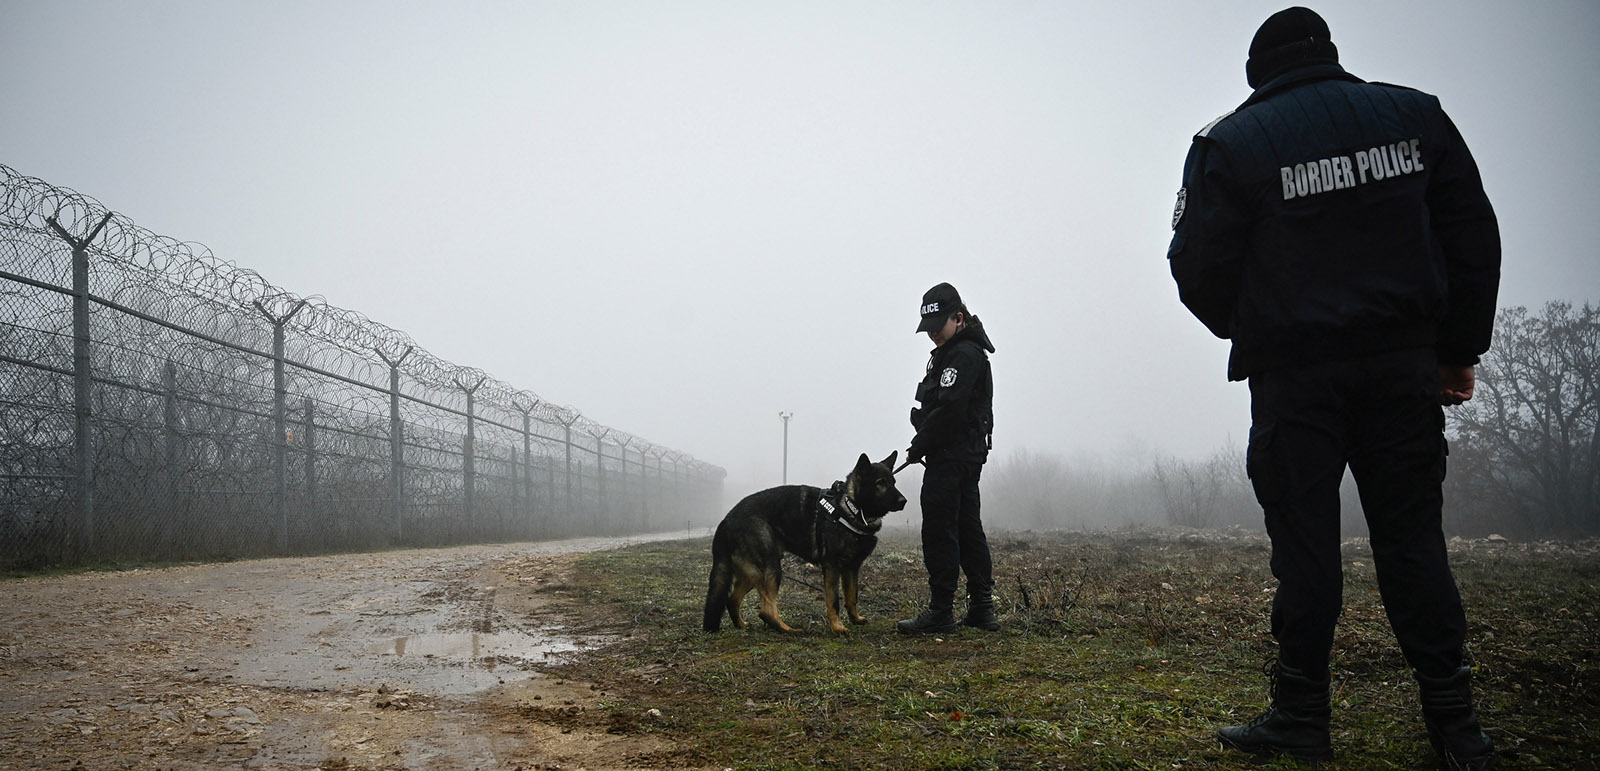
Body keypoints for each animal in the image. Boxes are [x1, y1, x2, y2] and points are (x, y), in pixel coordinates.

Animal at [704, 451, 908, 633]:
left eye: (893, 482)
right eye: (880, 483)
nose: (903, 501)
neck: (851, 508)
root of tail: (726, 520)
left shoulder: (852, 568)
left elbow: (852, 597)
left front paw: (855, 619)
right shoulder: (832, 567)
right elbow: (834, 600)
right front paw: (837, 627)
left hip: (751, 572)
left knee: (732, 599)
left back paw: (741, 625)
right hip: (769, 567)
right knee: (766, 610)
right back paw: (788, 629)